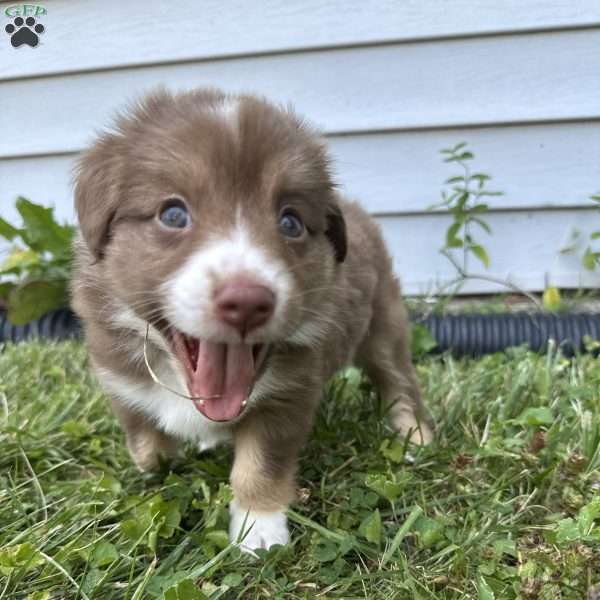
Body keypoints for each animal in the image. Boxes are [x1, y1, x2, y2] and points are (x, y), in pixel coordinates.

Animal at [72, 86, 434, 552]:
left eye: (291, 222)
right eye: (173, 214)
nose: (246, 302)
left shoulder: (288, 395)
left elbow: (260, 465)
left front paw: (259, 530)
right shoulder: (118, 377)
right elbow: (144, 438)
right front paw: (159, 461)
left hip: (384, 323)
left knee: (399, 381)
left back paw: (415, 436)